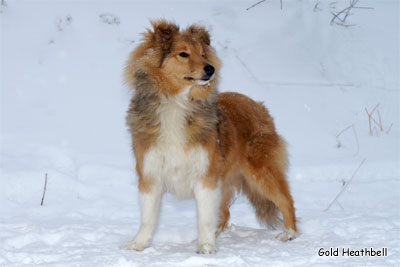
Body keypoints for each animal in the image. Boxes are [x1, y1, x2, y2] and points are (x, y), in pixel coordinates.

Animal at [123, 19, 298, 254]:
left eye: (203, 54)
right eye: (184, 54)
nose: (210, 69)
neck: (177, 104)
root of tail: (258, 105)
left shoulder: (206, 175)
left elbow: (204, 217)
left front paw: (206, 247)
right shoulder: (150, 175)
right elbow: (148, 218)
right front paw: (139, 244)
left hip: (261, 170)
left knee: (286, 199)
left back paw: (290, 233)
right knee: (224, 212)